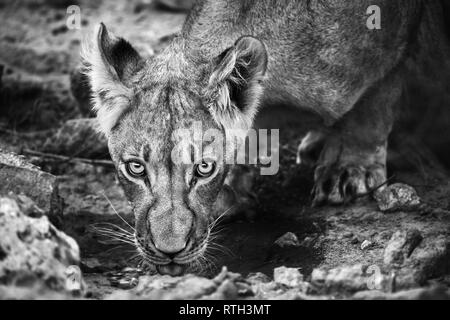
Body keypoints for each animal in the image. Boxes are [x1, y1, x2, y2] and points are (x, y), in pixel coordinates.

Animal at [82, 0, 450, 276]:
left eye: (203, 169)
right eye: (135, 168)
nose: (169, 252)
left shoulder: (395, 34)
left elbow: (377, 98)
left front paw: (350, 169)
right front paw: (233, 191)